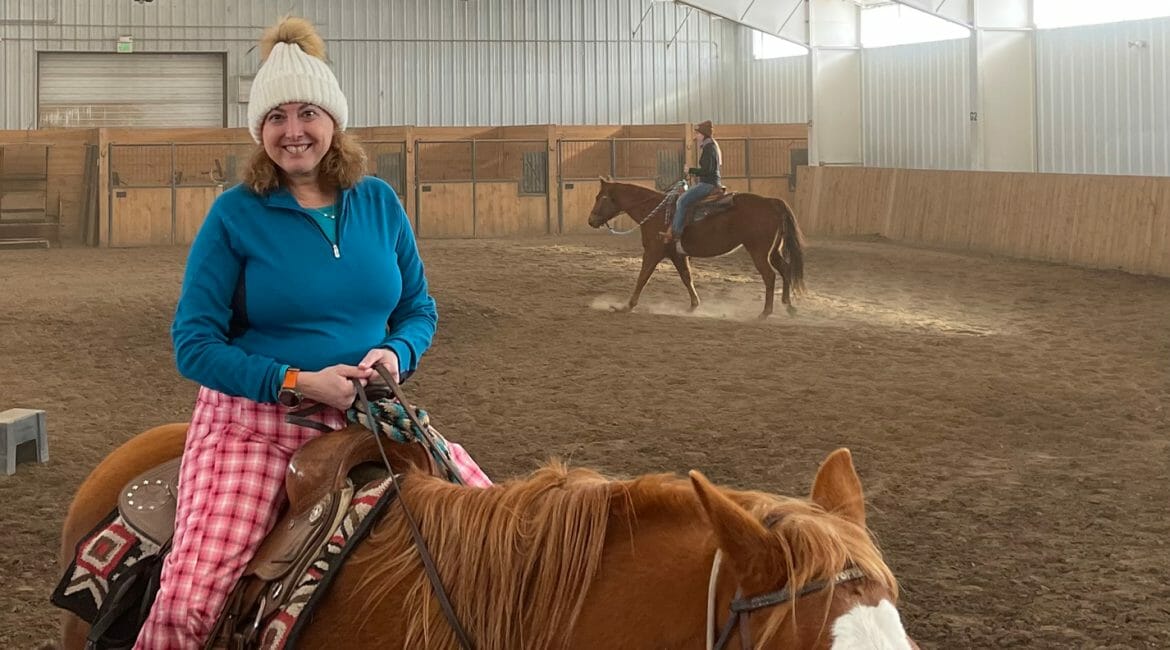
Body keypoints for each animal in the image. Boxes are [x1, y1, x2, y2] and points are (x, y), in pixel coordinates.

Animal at [585, 178, 804, 317]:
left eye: (600, 197)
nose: (591, 221)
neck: (656, 211)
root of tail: (771, 202)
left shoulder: (653, 252)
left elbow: (642, 278)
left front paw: (626, 306)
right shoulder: (677, 255)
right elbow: (686, 278)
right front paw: (693, 306)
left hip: (758, 251)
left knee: (770, 276)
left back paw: (765, 312)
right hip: (773, 251)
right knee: (785, 269)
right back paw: (789, 307)